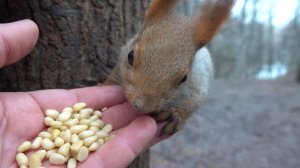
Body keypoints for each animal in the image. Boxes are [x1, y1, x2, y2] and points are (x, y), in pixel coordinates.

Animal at [102, 0, 234, 135]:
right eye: (130, 56)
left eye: (184, 78)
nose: (142, 106)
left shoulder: (198, 87)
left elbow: (191, 105)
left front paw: (175, 116)